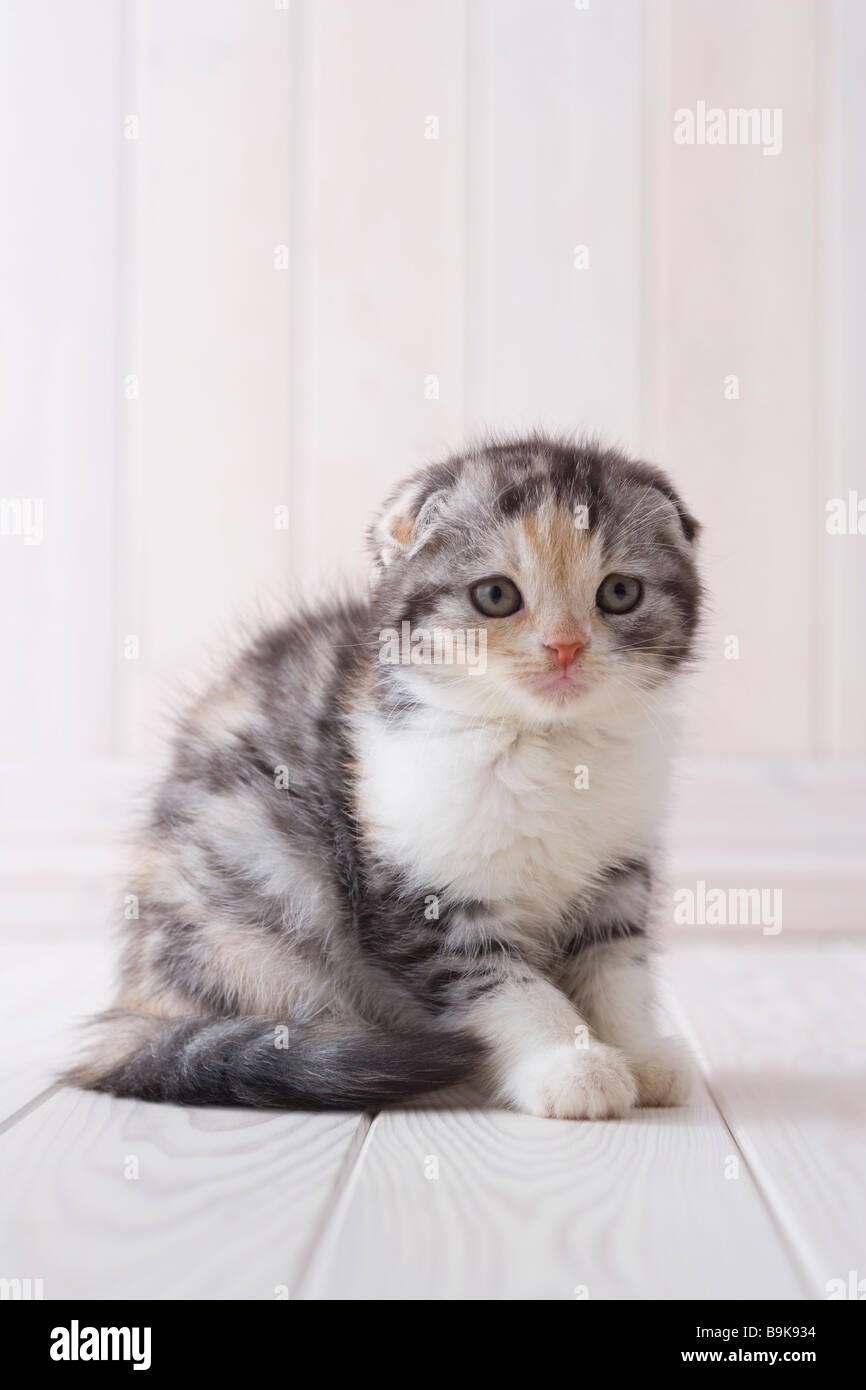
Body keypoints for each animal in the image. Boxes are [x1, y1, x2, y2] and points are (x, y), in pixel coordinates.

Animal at [69, 433, 706, 1117]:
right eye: (496, 595)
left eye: (619, 593)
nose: (564, 647)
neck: (546, 745)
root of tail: (136, 998)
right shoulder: (416, 889)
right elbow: (502, 984)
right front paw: (569, 1064)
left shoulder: (620, 872)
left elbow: (617, 967)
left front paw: (641, 1052)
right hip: (255, 883)